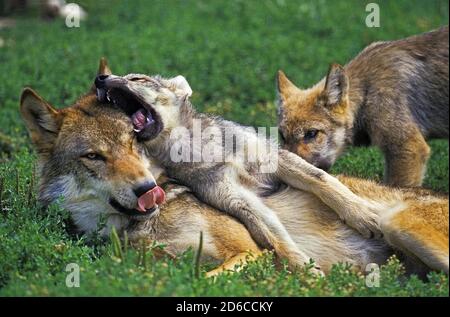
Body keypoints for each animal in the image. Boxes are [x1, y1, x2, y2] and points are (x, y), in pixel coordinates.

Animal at [19, 58, 448, 274]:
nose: (101, 79)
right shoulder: (236, 200)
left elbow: (323, 181)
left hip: (404, 228)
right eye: (95, 156)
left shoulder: (274, 159)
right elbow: (273, 239)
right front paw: (303, 269)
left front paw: (359, 214)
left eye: (136, 77)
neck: (195, 148)